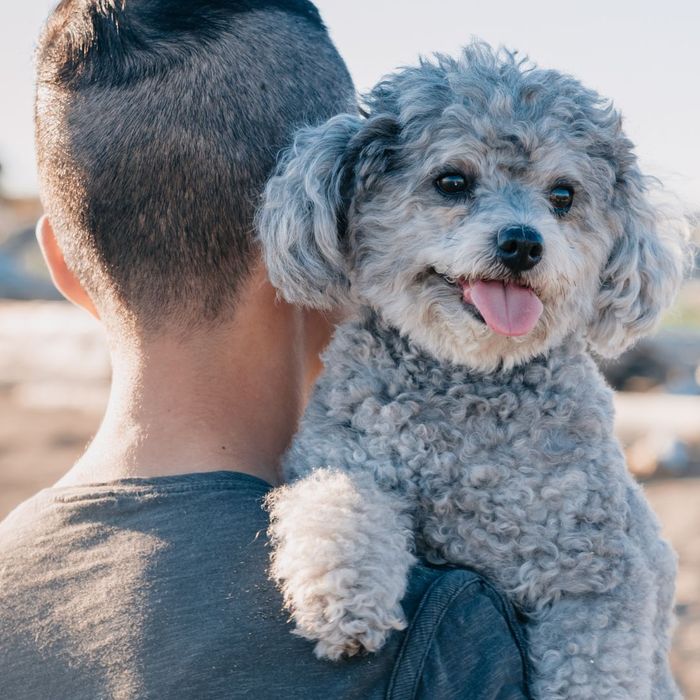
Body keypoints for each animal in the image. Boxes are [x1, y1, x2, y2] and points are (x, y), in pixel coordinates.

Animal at [258, 45, 688, 700]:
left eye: (563, 195)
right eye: (452, 181)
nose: (523, 243)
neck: (472, 380)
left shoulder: (597, 568)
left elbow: (594, 664)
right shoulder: (339, 451)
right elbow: (338, 500)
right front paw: (343, 602)